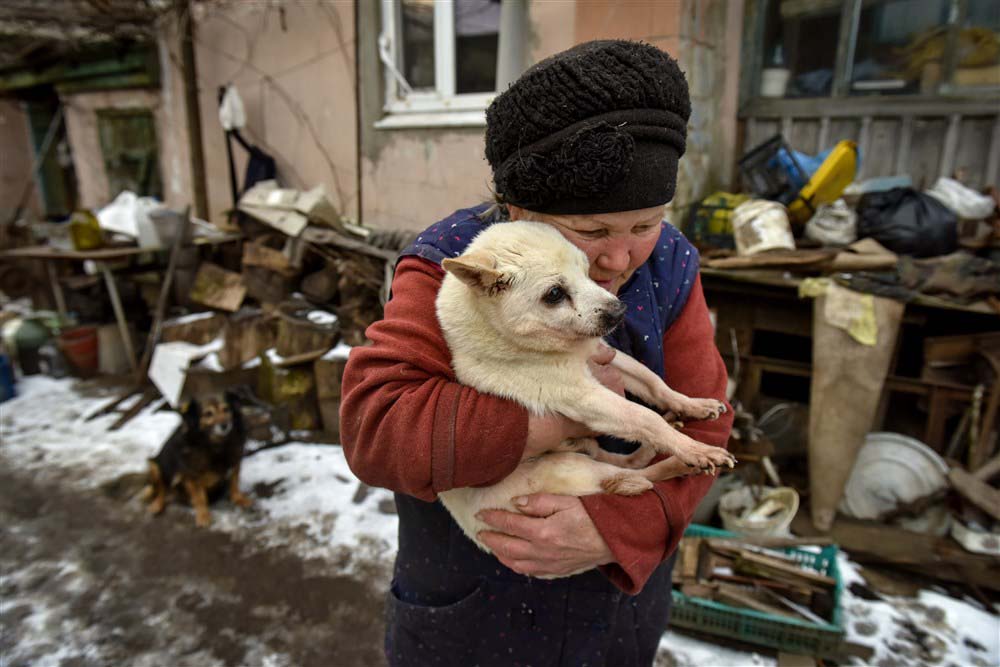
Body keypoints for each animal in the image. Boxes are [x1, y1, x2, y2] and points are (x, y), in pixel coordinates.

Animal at [145, 392, 254, 528]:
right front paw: (203, 516)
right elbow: (200, 497)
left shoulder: (235, 463)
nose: (225, 425)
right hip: (154, 465)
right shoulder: (191, 475)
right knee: (161, 490)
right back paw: (157, 505)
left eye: (226, 409)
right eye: (208, 414)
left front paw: (239, 499)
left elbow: (234, 484)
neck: (215, 445)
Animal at [434, 222, 732, 568]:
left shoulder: (604, 356)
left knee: (624, 463)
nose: (620, 311)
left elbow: (653, 382)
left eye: (587, 271)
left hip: (581, 457)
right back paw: (681, 464)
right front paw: (696, 450)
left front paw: (693, 405)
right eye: (554, 294)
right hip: (566, 468)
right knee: (635, 476)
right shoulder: (584, 396)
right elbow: (645, 417)